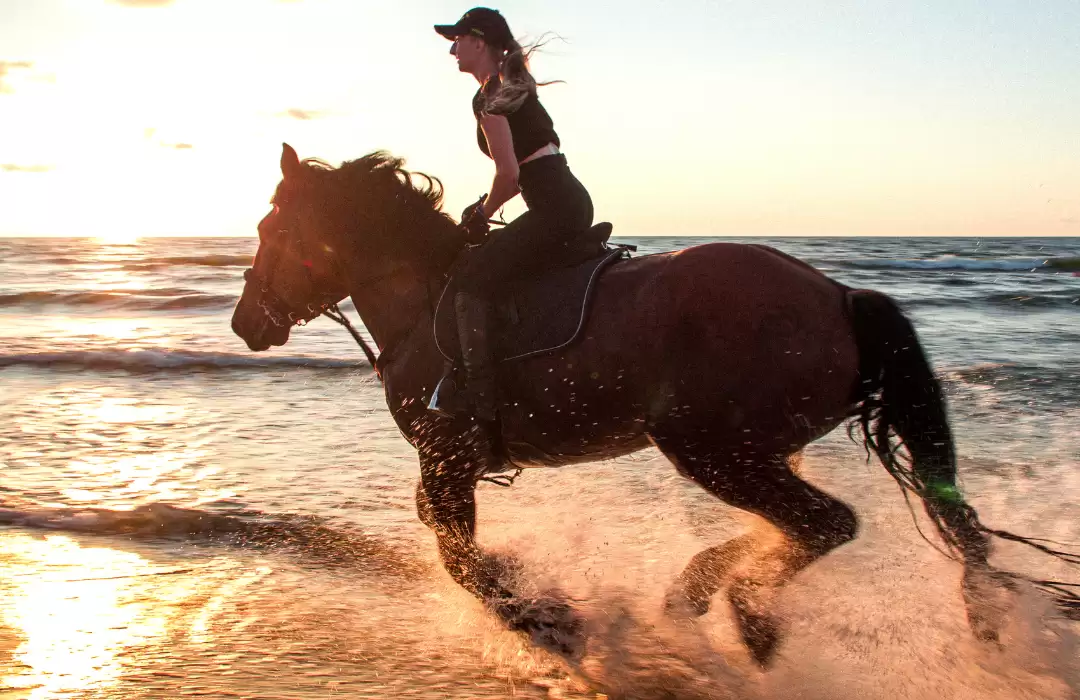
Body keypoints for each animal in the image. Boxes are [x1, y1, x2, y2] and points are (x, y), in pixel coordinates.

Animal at [231, 144, 1077, 665]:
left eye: (272, 228)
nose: (246, 325)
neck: (422, 297)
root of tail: (838, 294)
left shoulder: (448, 459)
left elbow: (460, 557)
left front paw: (550, 621)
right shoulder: (446, 468)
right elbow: (453, 547)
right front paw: (539, 603)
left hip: (706, 445)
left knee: (823, 522)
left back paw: (749, 617)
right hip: (759, 445)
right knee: (791, 526)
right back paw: (699, 594)